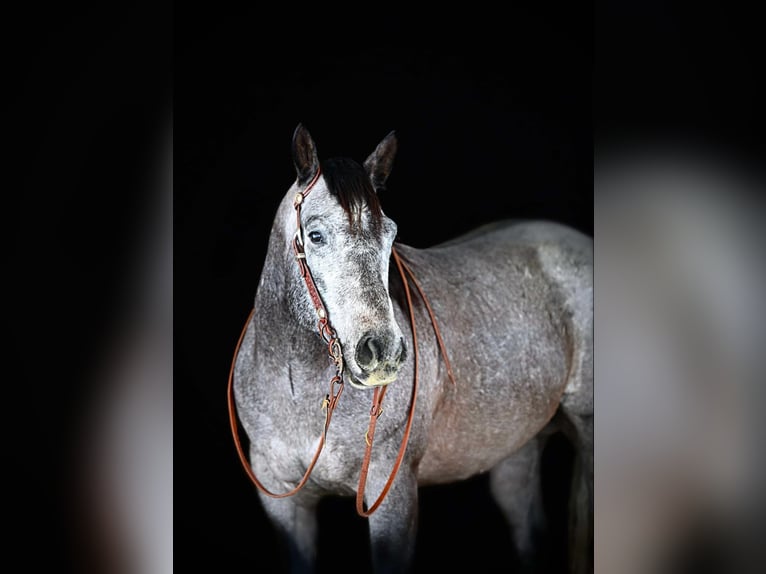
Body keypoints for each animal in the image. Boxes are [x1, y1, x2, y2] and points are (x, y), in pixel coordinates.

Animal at [228, 126, 592, 574]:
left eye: (390, 234)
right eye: (315, 235)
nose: (380, 350)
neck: (297, 388)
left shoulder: (392, 494)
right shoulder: (283, 502)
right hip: (519, 449)